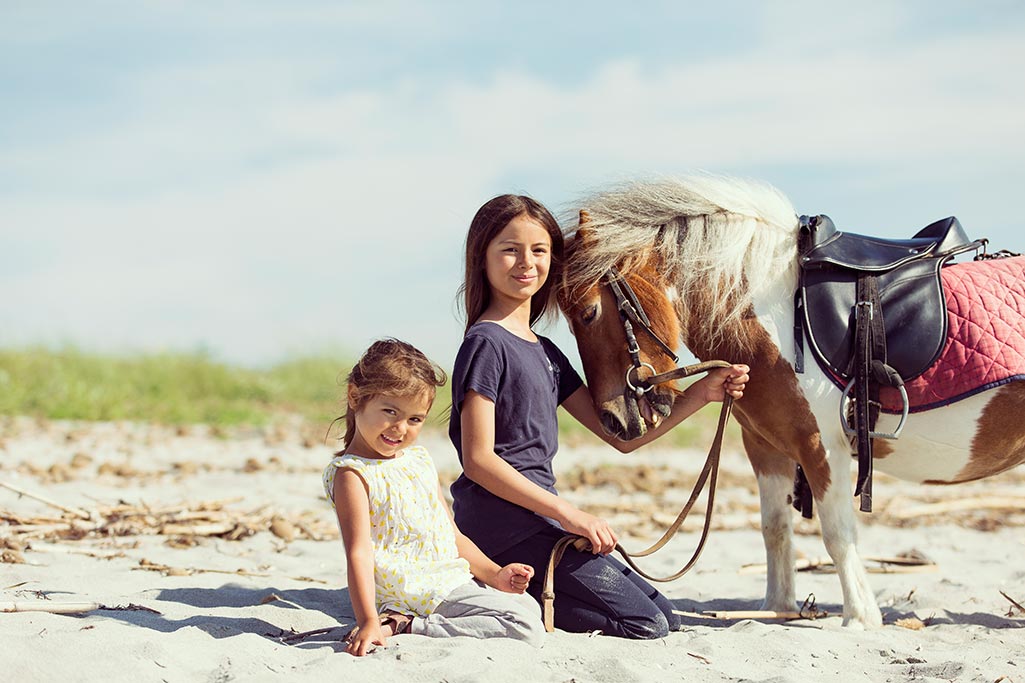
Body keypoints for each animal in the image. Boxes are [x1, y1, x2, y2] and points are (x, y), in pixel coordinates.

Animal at [561, 175, 1025, 627]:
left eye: (588, 313)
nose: (613, 420)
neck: (773, 311)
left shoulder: (822, 448)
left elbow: (838, 535)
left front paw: (860, 619)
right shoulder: (767, 448)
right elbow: (774, 528)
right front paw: (777, 607)